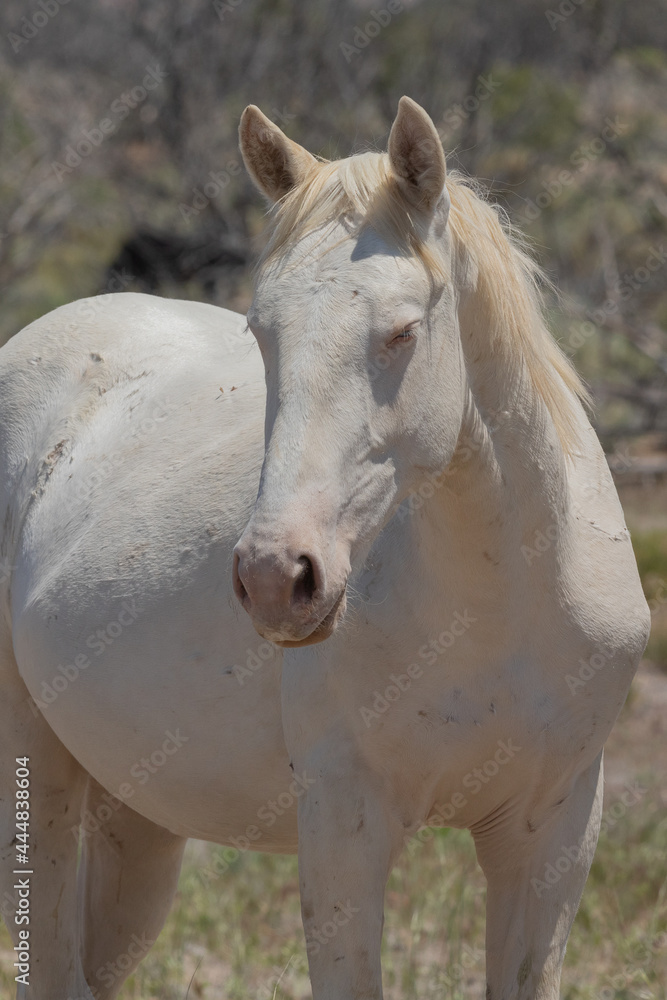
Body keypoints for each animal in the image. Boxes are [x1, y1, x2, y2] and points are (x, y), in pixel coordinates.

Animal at [0, 97, 649, 1000]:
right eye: (260, 331)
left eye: (403, 331)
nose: (277, 578)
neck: (503, 603)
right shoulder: (346, 831)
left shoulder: (551, 832)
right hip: (36, 781)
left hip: (136, 822)